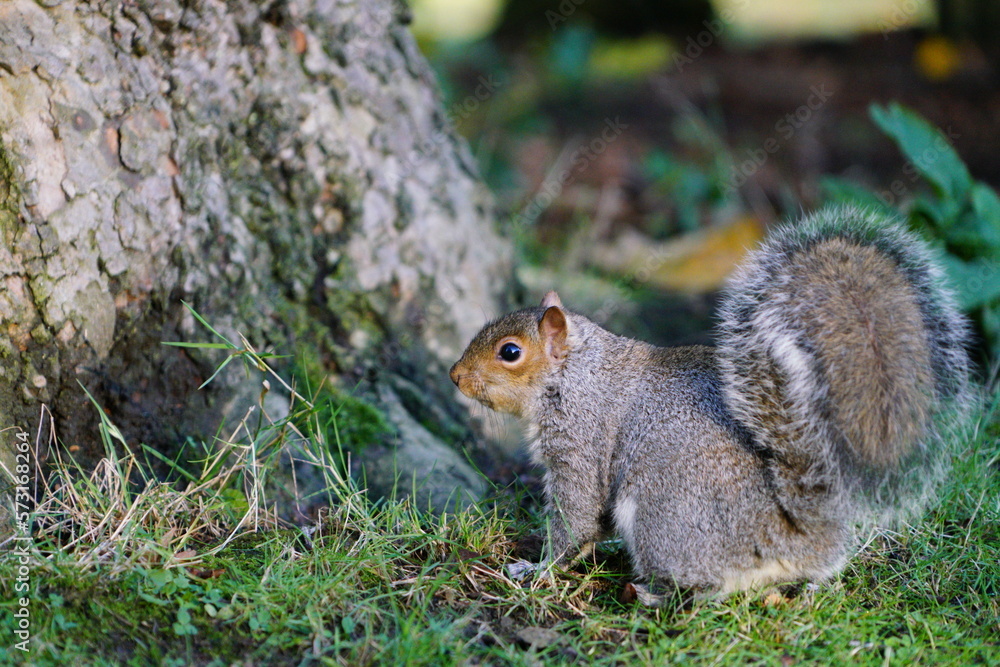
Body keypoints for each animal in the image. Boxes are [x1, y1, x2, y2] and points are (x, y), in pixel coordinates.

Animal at [449, 206, 973, 597]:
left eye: (510, 352)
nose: (454, 376)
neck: (576, 373)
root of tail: (796, 537)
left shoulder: (580, 441)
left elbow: (575, 519)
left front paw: (534, 570)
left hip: (665, 517)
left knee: (709, 587)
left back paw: (657, 594)